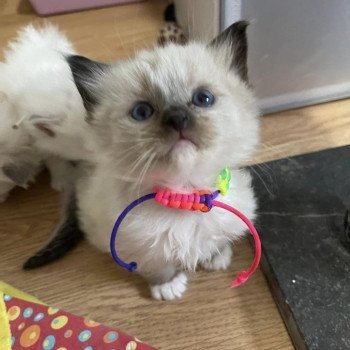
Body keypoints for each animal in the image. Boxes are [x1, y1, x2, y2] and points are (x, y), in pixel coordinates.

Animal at [65, 21, 260, 300]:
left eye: (203, 99)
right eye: (142, 112)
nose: (177, 118)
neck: (186, 193)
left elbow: (217, 240)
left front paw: (216, 258)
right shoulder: (138, 246)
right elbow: (158, 266)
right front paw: (168, 287)